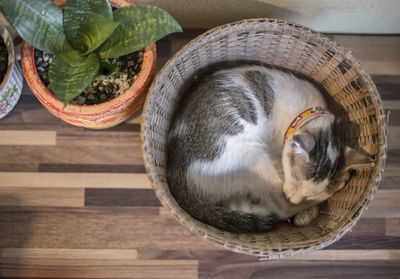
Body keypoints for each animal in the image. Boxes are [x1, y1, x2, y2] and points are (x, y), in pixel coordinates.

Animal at [166, 65, 376, 234]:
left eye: (307, 193)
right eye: (294, 180)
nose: (293, 199)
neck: (306, 112)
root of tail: (176, 175)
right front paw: (308, 207)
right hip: (253, 157)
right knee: (279, 207)